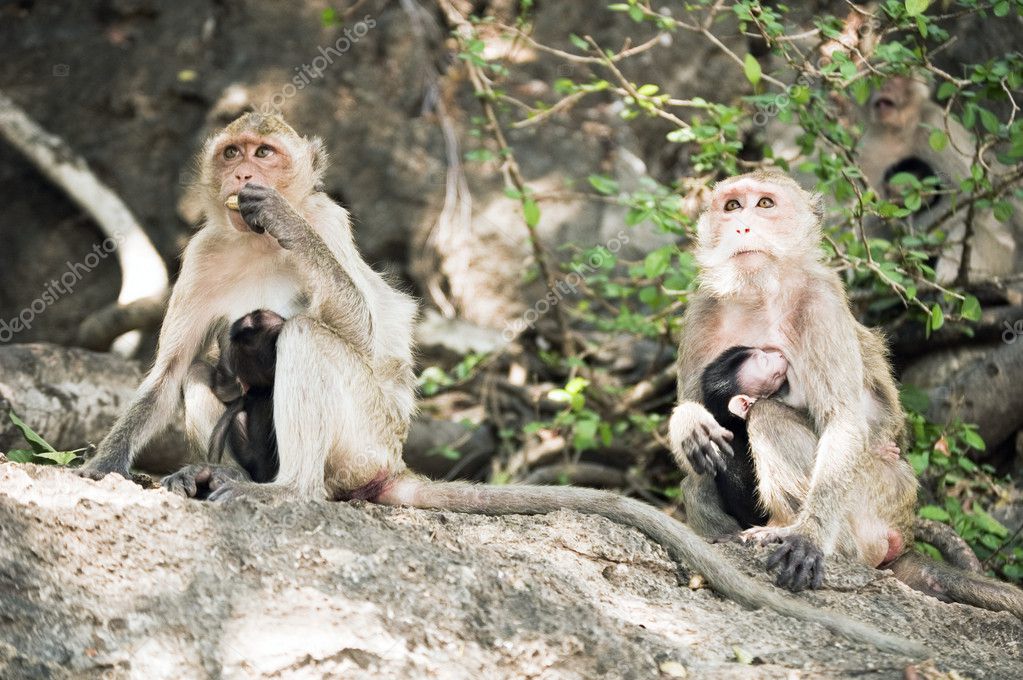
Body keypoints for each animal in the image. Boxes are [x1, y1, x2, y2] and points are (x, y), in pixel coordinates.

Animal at [75, 114, 928, 654]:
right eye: (232, 152)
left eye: (265, 153)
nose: (248, 174)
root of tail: (391, 466)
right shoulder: (202, 251)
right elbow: (167, 374)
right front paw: (101, 468)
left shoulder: (326, 219)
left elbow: (359, 324)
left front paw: (280, 221)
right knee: (211, 368)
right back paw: (207, 470)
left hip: (363, 442)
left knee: (305, 339)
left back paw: (288, 492)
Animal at [859, 76, 1018, 280]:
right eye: (881, 79)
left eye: (898, 79)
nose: (885, 87)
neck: (900, 130)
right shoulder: (869, 147)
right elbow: (870, 210)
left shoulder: (935, 126)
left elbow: (969, 194)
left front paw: (912, 241)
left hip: (1000, 258)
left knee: (967, 228)